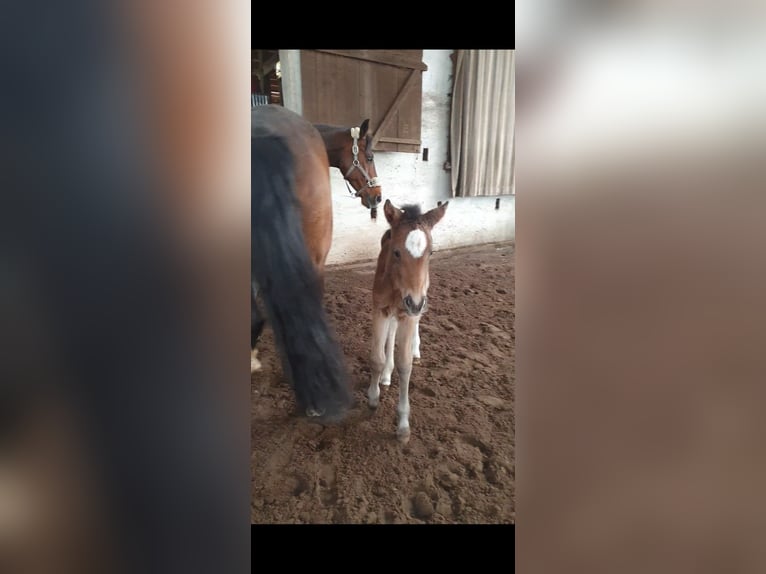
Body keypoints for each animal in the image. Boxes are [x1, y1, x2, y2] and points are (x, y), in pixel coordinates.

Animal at [367, 199, 449, 443]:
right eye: (396, 252)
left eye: (431, 252)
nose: (414, 302)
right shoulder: (380, 309)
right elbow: (376, 357)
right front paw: (373, 398)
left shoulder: (412, 310)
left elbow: (405, 365)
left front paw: (403, 425)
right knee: (392, 332)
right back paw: (386, 375)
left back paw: (415, 349)